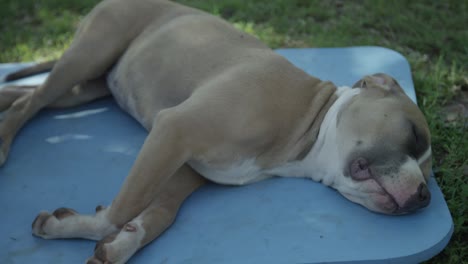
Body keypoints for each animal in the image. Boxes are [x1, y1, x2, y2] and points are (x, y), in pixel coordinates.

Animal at [0, 0, 432, 262]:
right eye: (414, 135)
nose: (425, 197)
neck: (310, 125)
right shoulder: (175, 129)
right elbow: (123, 207)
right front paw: (84, 228)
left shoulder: (183, 166)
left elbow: (159, 213)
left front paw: (120, 240)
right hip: (90, 53)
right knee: (30, 102)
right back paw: (3, 141)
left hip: (88, 85)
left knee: (29, 95)